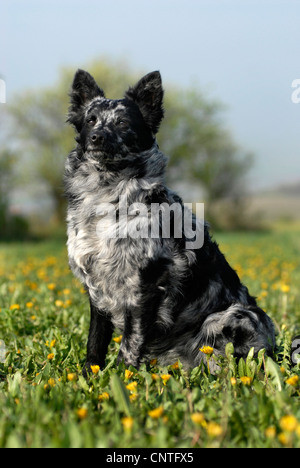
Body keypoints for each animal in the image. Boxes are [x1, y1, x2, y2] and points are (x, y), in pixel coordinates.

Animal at [64, 67, 276, 374]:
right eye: (91, 120)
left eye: (123, 123)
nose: (96, 137)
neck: (108, 193)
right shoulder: (96, 287)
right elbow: (95, 341)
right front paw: (90, 376)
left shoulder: (145, 285)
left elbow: (130, 343)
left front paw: (123, 377)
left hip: (232, 316)